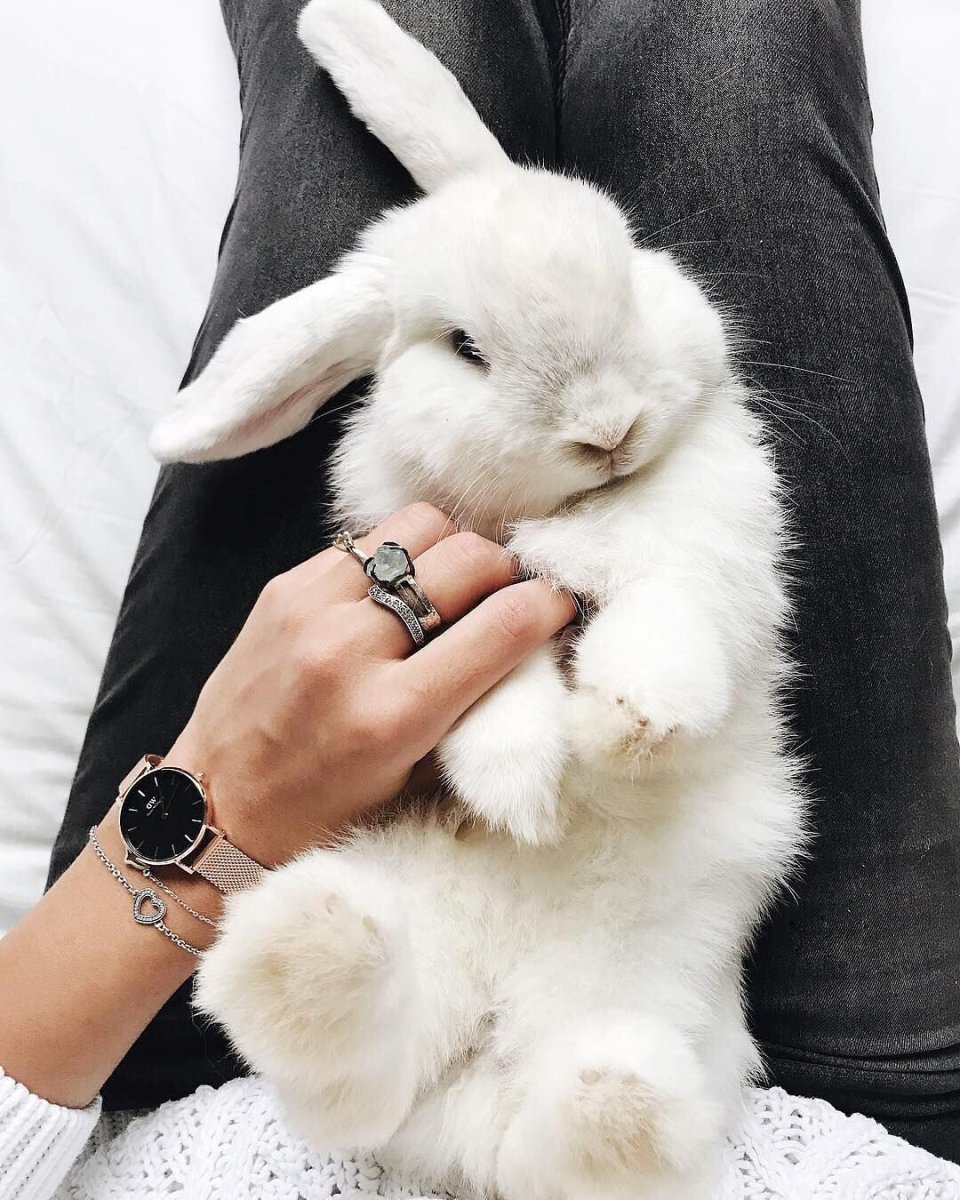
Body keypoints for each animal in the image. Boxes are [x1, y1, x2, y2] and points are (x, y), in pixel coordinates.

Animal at [150, 1, 811, 1197]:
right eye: (463, 348)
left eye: (630, 263)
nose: (608, 427)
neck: (585, 503)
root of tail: (476, 1111)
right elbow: (491, 690)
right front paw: (520, 784)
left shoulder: (709, 539)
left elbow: (670, 614)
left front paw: (631, 722)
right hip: (404, 932)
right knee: (352, 1081)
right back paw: (306, 952)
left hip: (671, 1009)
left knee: (590, 1131)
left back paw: (608, 1097)